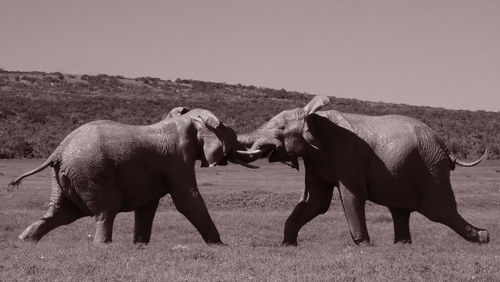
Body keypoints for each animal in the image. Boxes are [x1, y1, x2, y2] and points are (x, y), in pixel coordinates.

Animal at [7, 108, 250, 245]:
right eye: (227, 130)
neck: (183, 121)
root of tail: (58, 150)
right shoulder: (178, 158)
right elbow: (187, 199)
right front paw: (220, 245)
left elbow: (147, 207)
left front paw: (140, 246)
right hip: (92, 172)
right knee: (105, 210)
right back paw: (103, 246)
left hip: (64, 177)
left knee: (60, 213)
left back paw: (24, 242)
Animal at [235, 96, 488, 246]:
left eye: (280, 128)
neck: (315, 118)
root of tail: (445, 147)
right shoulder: (315, 158)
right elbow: (315, 202)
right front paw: (288, 244)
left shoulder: (346, 153)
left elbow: (351, 196)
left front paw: (363, 245)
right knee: (401, 210)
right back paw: (402, 245)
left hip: (431, 168)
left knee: (439, 210)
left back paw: (483, 237)